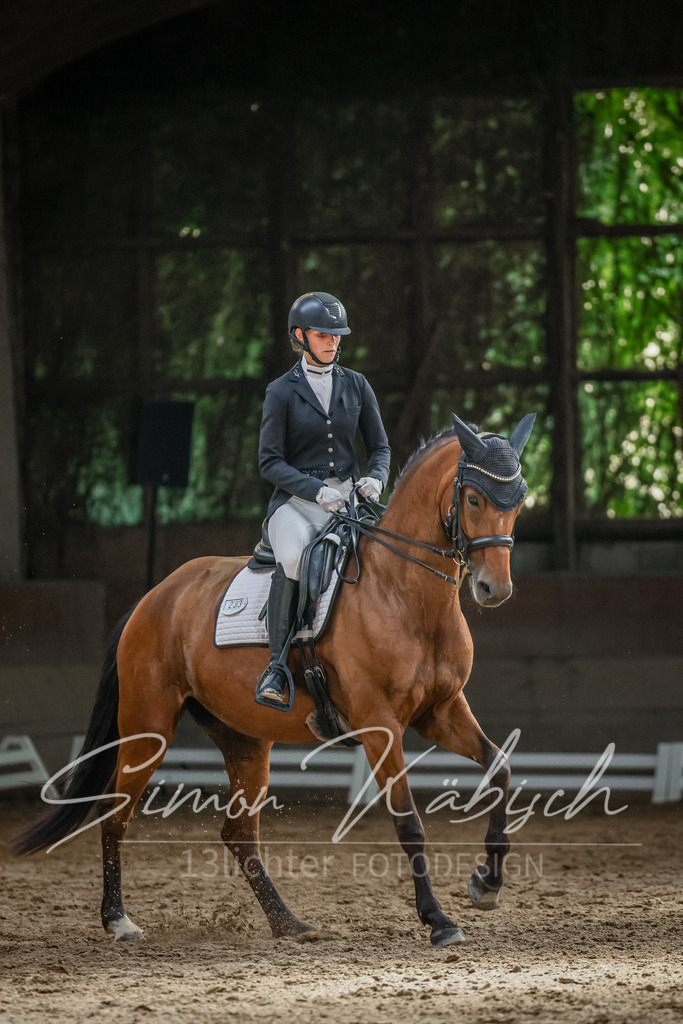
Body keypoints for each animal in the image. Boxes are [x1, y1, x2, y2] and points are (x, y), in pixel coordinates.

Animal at [15, 412, 535, 948]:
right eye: (473, 499)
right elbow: (408, 821)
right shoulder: (380, 724)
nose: (494, 589)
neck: (404, 593)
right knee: (115, 813)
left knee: (239, 834)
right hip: (147, 727)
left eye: (518, 499)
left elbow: (501, 771)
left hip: (243, 738)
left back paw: (288, 922)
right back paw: (118, 919)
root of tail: (152, 599)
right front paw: (438, 920)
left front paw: (486, 885)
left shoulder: (441, 711)